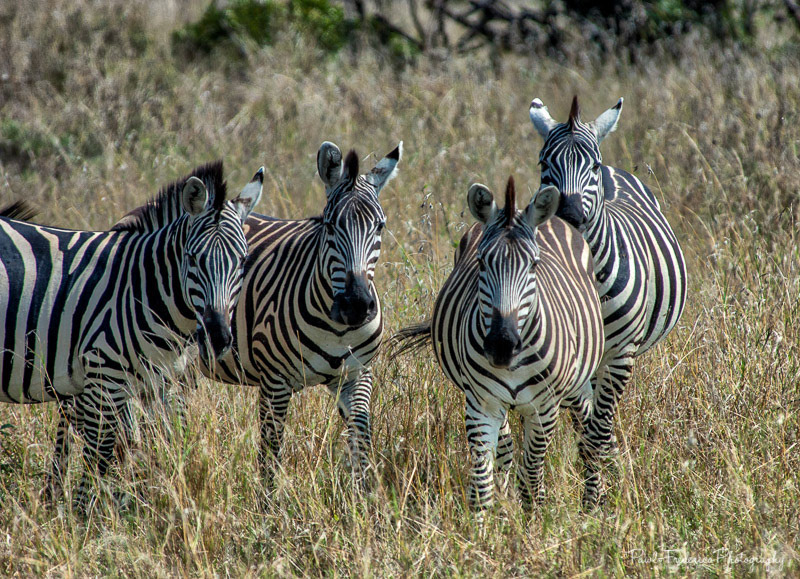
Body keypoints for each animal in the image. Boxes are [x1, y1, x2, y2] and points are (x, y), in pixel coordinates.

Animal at [0, 161, 262, 508]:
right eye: (193, 258)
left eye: (242, 261)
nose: (218, 337)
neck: (142, 290)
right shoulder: (103, 379)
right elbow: (101, 455)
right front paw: (84, 516)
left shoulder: (161, 384)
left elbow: (166, 445)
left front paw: (160, 505)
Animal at [193, 141, 401, 493]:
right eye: (329, 225)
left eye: (380, 226)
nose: (357, 305)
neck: (338, 328)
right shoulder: (274, 382)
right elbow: (271, 455)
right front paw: (268, 506)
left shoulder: (358, 374)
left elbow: (361, 443)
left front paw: (364, 500)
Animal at [394, 177, 605, 512]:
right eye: (481, 262)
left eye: (534, 265)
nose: (501, 346)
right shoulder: (481, 403)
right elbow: (482, 484)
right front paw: (487, 522)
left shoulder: (544, 408)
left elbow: (531, 477)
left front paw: (533, 521)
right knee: (506, 448)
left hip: (577, 384)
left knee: (588, 437)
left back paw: (593, 503)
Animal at [528, 95, 688, 468]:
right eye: (544, 163)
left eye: (593, 166)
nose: (569, 215)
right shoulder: (573, 359)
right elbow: (588, 427)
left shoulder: (620, 355)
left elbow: (598, 430)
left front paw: (607, 477)